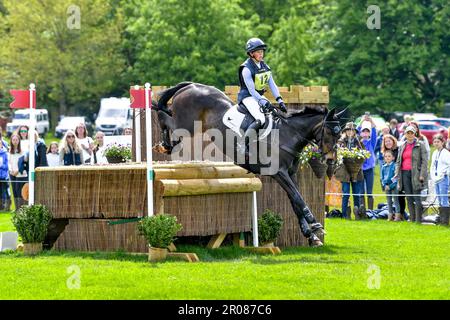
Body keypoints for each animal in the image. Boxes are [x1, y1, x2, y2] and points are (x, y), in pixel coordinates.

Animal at [153, 82, 342, 245]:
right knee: (164, 116)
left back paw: (166, 145)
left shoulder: (290, 174)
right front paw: (315, 224)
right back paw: (163, 143)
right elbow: (298, 197)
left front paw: (311, 235)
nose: (331, 160)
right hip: (185, 125)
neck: (287, 134)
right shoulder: (278, 173)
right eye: (330, 132)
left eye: (339, 135)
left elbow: (295, 200)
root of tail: (191, 85)